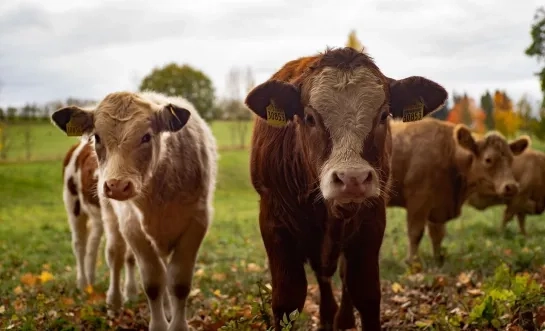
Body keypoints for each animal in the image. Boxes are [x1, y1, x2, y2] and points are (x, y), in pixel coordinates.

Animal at [60, 139, 138, 308]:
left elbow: (131, 256)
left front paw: (131, 293)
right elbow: (115, 252)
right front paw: (114, 302)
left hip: (97, 216)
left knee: (92, 243)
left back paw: (90, 281)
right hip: (73, 203)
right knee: (79, 244)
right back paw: (82, 283)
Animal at [384, 119, 528, 268]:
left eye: (511, 160)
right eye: (488, 159)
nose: (511, 186)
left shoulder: (438, 206)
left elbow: (438, 235)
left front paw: (438, 261)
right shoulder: (418, 201)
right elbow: (415, 233)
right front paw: (412, 263)